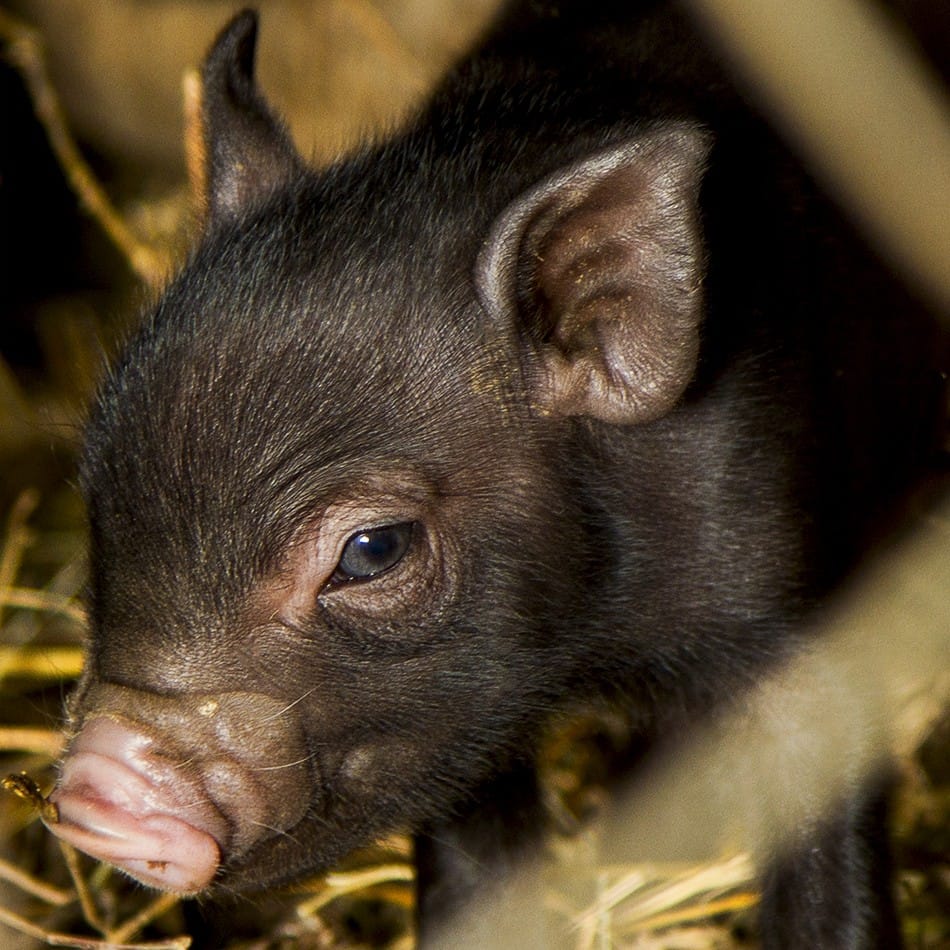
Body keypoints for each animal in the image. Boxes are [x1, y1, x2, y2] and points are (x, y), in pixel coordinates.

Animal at [45, 0, 947, 947]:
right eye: (99, 493)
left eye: (372, 550)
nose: (94, 793)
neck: (600, 650)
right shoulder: (458, 725)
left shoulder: (781, 578)